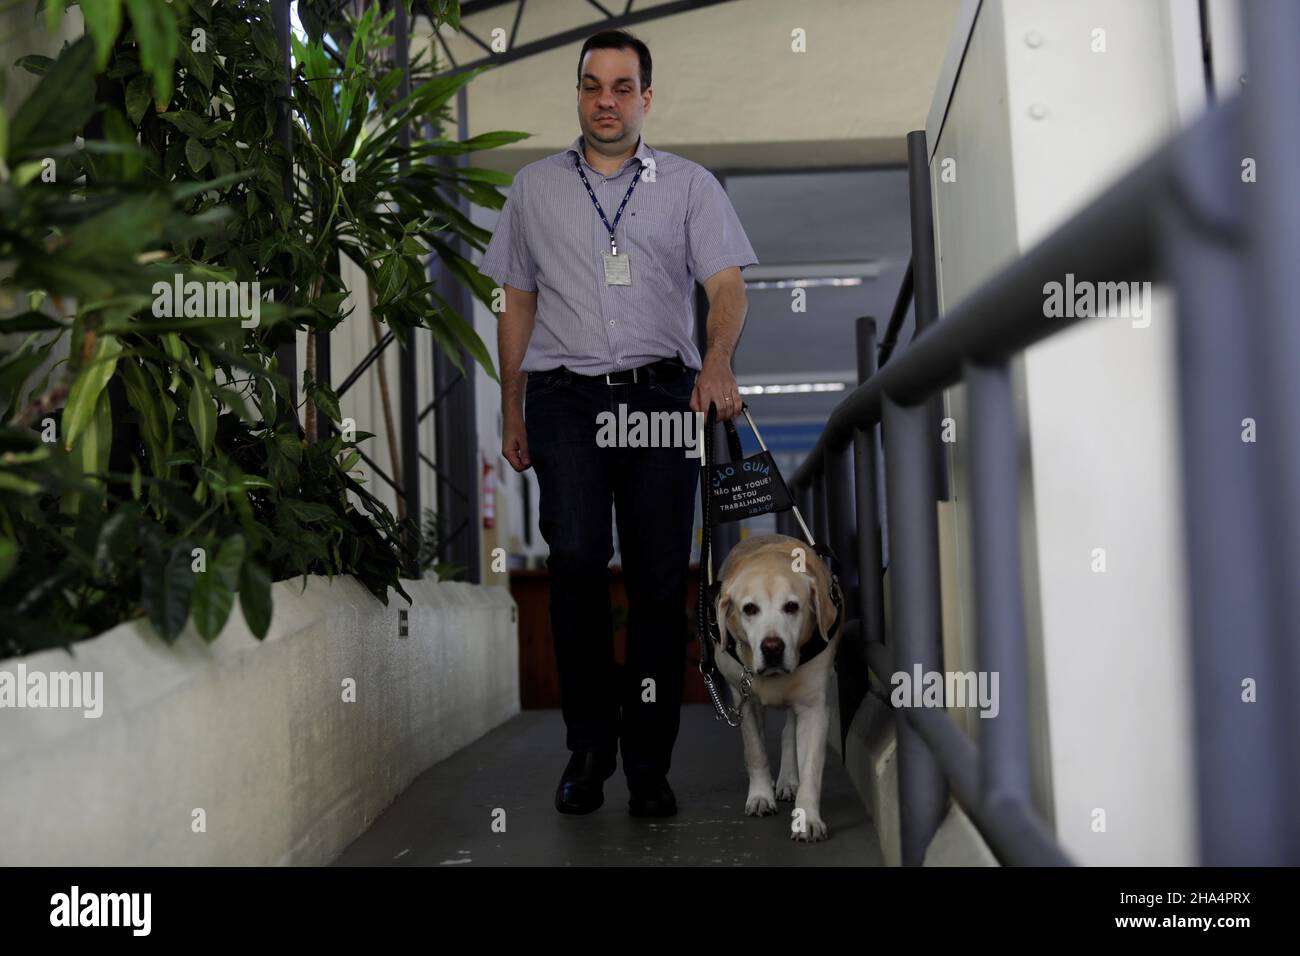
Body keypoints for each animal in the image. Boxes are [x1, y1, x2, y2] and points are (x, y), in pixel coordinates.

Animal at [712, 535, 842, 842]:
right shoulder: (743, 701)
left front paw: (807, 819)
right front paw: (760, 796)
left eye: (792, 606)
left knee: (788, 733)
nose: (772, 648)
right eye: (749, 609)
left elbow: (811, 768)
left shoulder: (814, 708)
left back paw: (788, 780)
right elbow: (755, 751)